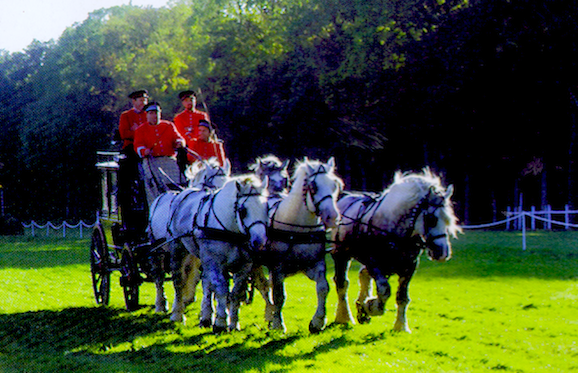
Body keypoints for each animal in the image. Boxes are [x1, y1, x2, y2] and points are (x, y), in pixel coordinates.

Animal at [165, 174, 266, 332]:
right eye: (243, 210)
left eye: (266, 208)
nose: (259, 241)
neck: (231, 230)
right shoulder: (215, 262)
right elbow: (222, 290)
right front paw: (220, 322)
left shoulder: (244, 266)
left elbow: (235, 293)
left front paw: (233, 323)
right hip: (178, 249)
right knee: (179, 281)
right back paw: (177, 314)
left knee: (206, 283)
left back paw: (206, 318)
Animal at [260, 157, 342, 332]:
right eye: (313, 186)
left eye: (335, 185)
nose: (332, 217)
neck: (298, 228)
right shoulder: (277, 268)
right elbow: (279, 295)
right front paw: (278, 324)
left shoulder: (316, 264)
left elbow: (323, 288)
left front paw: (317, 321)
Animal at [328, 169, 460, 332]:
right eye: (431, 218)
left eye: (448, 219)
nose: (442, 253)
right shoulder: (374, 263)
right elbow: (384, 291)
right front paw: (370, 307)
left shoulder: (409, 267)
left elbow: (402, 297)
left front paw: (401, 326)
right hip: (341, 254)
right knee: (342, 284)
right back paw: (344, 317)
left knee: (363, 275)